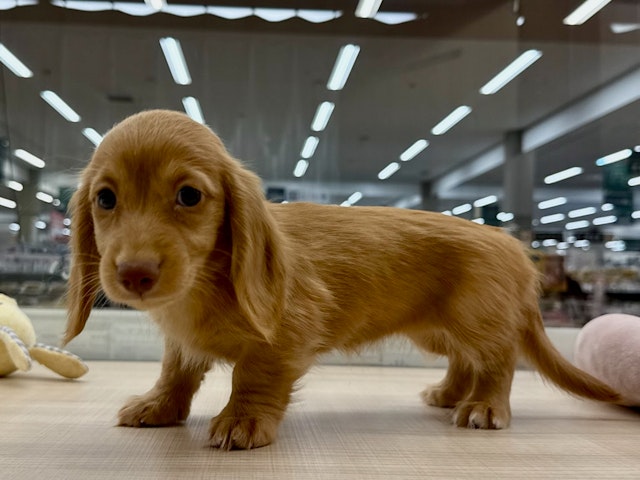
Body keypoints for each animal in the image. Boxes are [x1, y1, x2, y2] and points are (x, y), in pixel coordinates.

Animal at [65, 109, 620, 450]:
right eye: (105, 199)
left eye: (188, 196)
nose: (134, 274)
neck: (207, 280)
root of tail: (515, 249)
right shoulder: (182, 343)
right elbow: (175, 372)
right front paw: (157, 406)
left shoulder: (287, 332)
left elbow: (254, 375)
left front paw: (243, 420)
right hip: (437, 331)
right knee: (466, 360)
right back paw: (449, 394)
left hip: (478, 320)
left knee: (498, 360)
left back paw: (483, 406)